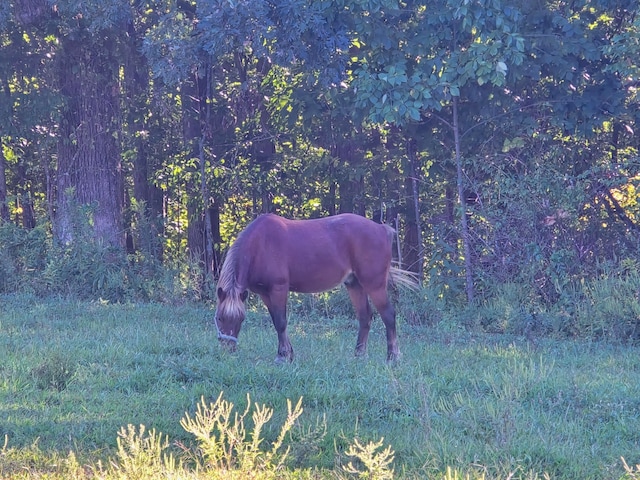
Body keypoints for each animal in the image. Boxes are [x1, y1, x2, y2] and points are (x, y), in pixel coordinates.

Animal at [212, 212, 418, 362]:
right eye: (220, 318)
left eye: (240, 318)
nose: (227, 349)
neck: (260, 245)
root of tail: (381, 229)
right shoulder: (265, 293)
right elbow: (277, 322)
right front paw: (289, 353)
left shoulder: (278, 289)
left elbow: (281, 322)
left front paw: (282, 356)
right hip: (354, 284)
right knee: (365, 317)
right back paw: (359, 355)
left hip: (374, 284)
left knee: (388, 315)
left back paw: (393, 357)